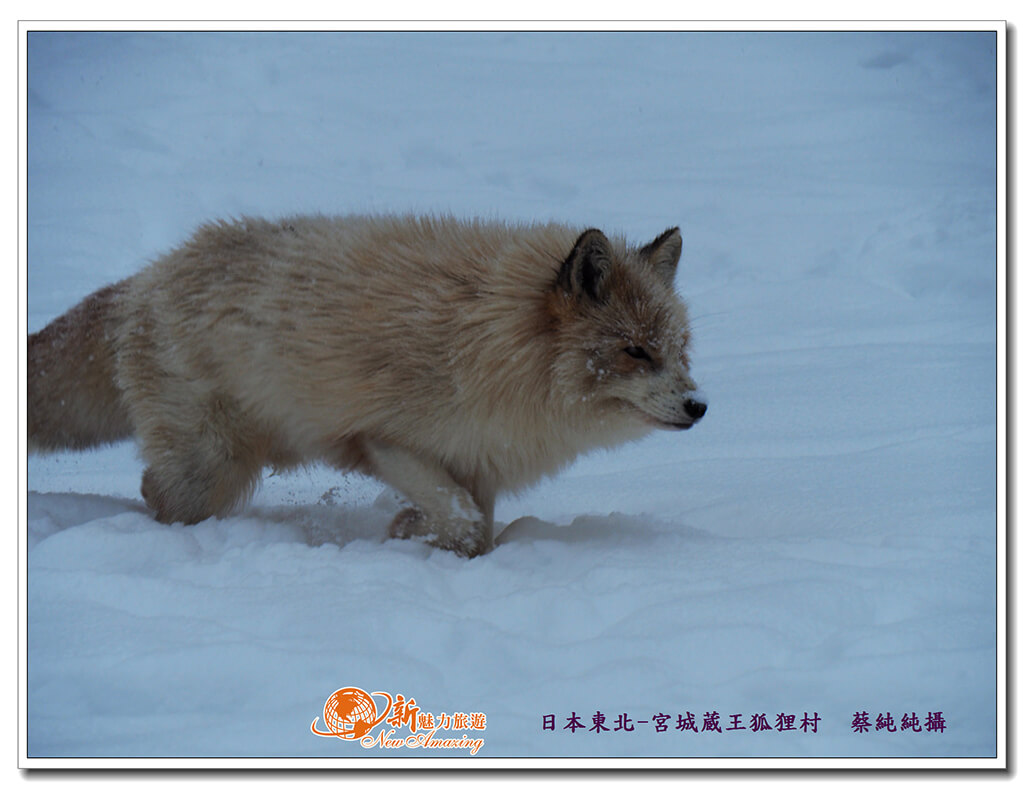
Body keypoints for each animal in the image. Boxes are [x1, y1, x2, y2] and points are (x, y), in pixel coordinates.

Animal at [29, 215, 704, 556]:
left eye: (678, 351)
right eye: (635, 352)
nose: (699, 406)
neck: (489, 340)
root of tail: (147, 278)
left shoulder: (478, 459)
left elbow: (474, 526)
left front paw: (417, 536)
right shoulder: (379, 438)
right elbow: (463, 522)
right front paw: (420, 540)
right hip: (213, 466)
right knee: (155, 495)